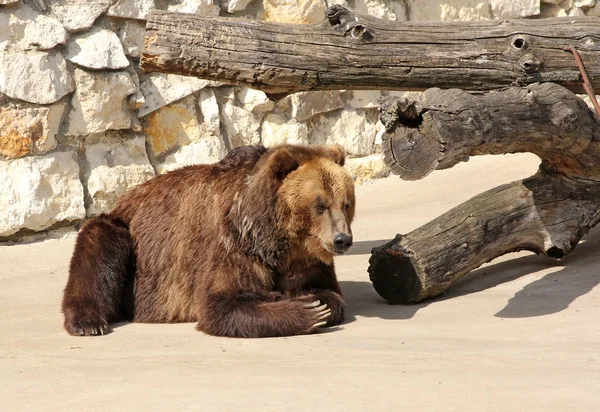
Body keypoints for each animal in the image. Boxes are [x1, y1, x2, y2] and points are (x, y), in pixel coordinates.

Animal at [64, 144, 356, 338]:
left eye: (346, 203)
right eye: (320, 205)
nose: (342, 239)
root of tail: (127, 196)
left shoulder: (306, 258)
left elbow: (329, 293)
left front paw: (314, 301)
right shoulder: (231, 243)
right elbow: (222, 304)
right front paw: (307, 310)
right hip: (130, 240)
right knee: (99, 248)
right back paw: (89, 322)